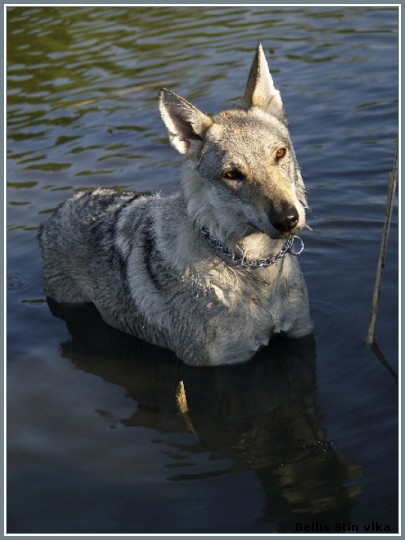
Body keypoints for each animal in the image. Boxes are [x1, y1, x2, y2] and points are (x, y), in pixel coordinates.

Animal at [38, 44, 312, 364]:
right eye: (233, 174)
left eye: (280, 154)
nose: (288, 219)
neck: (254, 267)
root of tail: (57, 212)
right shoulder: (227, 362)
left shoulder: (302, 335)